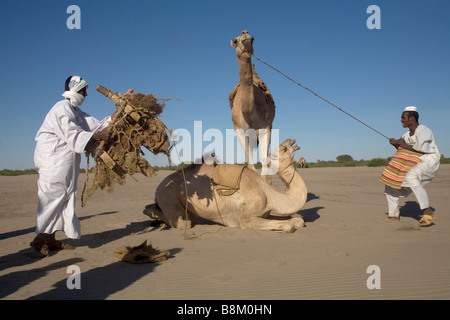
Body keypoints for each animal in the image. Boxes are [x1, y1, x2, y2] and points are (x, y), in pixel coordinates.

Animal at [146, 139, 308, 232]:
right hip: (168, 197)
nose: (296, 144)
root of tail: (158, 188)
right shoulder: (246, 219)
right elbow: (288, 226)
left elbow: (298, 221)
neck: (270, 196)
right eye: (284, 149)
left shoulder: (265, 213)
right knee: (183, 223)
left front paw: (297, 220)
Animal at [229, 31, 274, 184]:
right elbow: (250, 166)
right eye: (235, 41)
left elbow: (265, 169)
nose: (245, 33)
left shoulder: (264, 126)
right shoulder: (239, 129)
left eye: (253, 39)